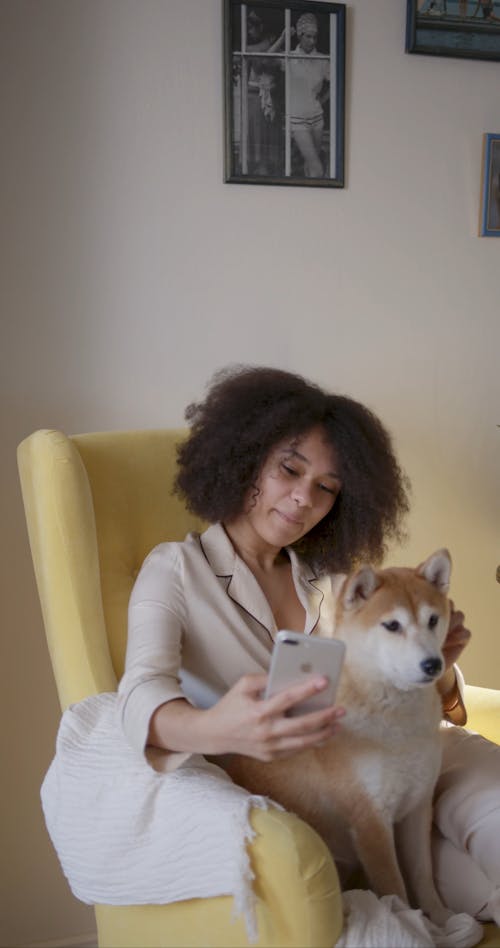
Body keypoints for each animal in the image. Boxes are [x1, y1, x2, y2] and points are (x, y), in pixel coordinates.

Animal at [229, 548, 454, 924]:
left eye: (433, 620)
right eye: (392, 625)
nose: (433, 665)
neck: (395, 719)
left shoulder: (419, 805)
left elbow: (422, 876)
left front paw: (441, 918)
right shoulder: (369, 820)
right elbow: (396, 890)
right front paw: (415, 925)